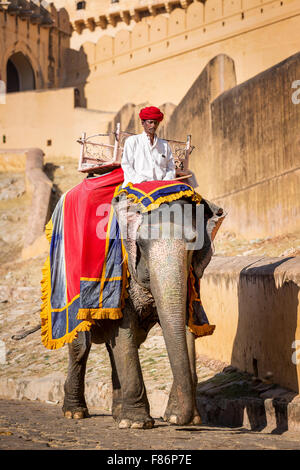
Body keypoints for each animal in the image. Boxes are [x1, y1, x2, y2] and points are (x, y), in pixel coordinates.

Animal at [39, 167, 224, 428]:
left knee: (111, 345)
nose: (179, 421)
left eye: (192, 245)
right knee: (81, 345)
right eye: (141, 245)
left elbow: (187, 326)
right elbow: (124, 328)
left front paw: (183, 418)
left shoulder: (191, 279)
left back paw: (117, 413)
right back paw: (75, 413)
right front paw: (138, 423)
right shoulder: (120, 272)